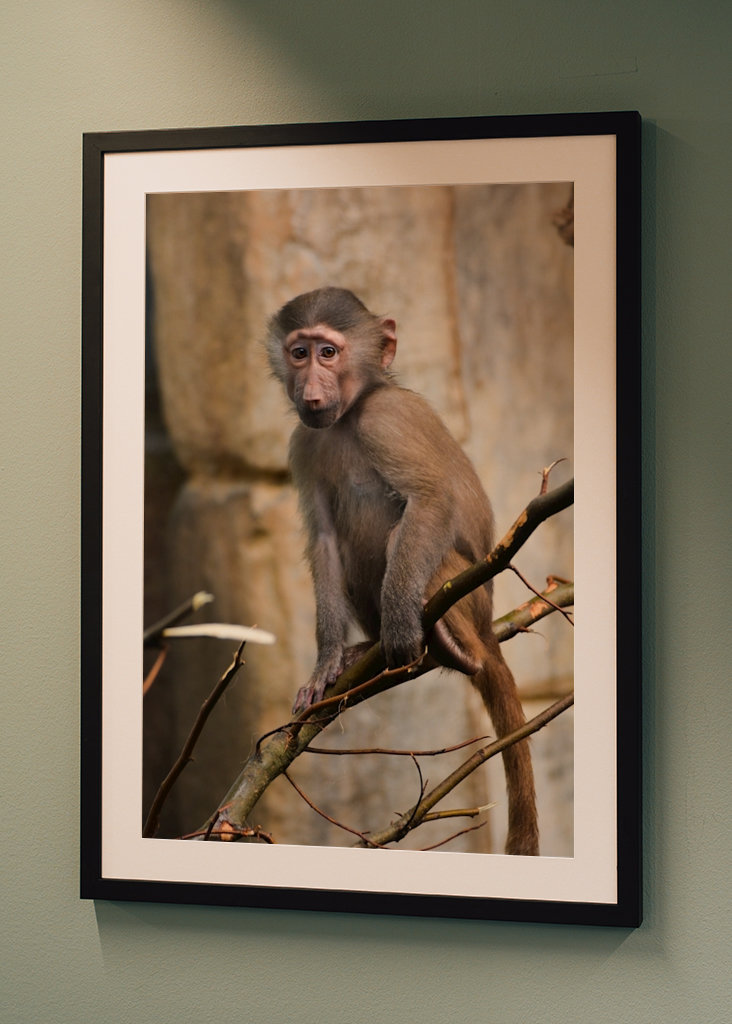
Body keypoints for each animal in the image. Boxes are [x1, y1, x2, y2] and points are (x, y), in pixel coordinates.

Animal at [266, 286, 538, 856]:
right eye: (299, 353)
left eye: (329, 352)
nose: (310, 390)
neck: (350, 416)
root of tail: (488, 626)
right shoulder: (304, 442)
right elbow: (325, 543)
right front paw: (326, 662)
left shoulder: (386, 420)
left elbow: (429, 500)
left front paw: (397, 626)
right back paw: (366, 650)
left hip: (468, 593)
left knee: (406, 536)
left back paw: (447, 645)